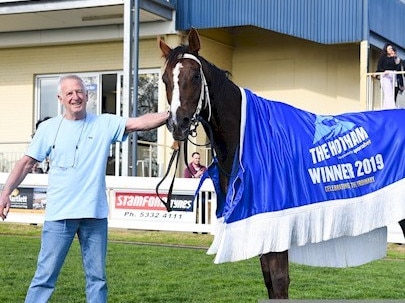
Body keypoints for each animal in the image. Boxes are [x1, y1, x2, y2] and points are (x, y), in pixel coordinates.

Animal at [157, 27, 404, 300]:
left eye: (195, 75)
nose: (177, 124)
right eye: (165, 79)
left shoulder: (274, 224)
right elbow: (269, 282)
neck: (246, 136)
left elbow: (279, 281)